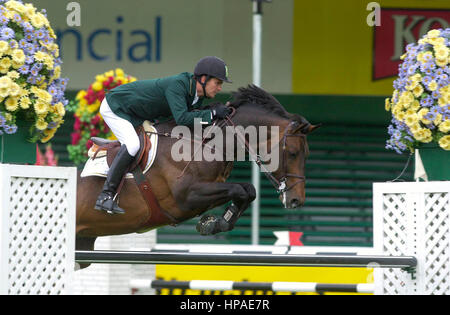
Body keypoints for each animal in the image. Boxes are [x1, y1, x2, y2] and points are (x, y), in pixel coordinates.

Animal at [74, 85, 320, 258]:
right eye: (293, 153)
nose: (296, 200)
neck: (209, 143)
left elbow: (248, 190)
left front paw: (216, 223)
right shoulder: (186, 197)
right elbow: (240, 190)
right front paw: (212, 224)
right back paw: (106, 201)